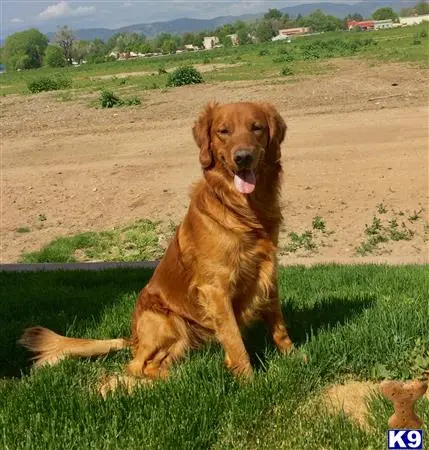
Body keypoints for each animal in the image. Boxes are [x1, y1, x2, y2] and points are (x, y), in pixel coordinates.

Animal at [20, 100, 294, 392]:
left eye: (257, 127)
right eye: (224, 131)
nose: (243, 157)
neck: (243, 210)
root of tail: (133, 338)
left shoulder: (267, 272)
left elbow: (279, 325)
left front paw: (296, 358)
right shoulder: (216, 289)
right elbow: (234, 340)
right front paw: (249, 381)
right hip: (167, 320)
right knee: (139, 366)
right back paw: (179, 379)